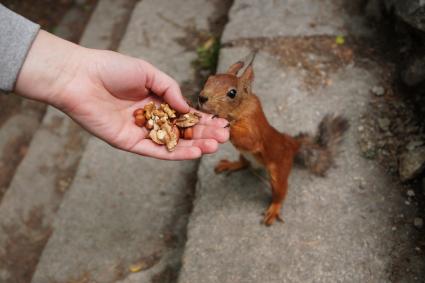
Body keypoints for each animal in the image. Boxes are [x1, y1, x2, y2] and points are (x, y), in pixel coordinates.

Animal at [198, 55, 348, 226]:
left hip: (279, 171)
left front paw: (227, 124)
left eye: (232, 93)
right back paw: (230, 164)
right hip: (245, 155)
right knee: (244, 163)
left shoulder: (254, 128)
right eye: (209, 78)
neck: (241, 107)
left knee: (280, 192)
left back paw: (274, 209)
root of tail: (292, 145)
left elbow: (249, 140)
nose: (202, 98)